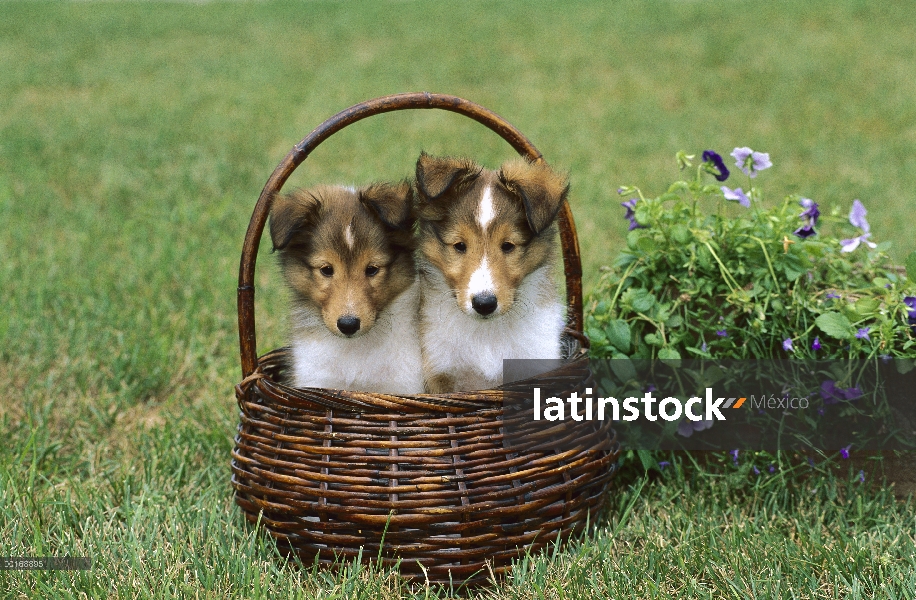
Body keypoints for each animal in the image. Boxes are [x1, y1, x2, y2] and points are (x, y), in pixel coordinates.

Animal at [268, 184, 426, 398]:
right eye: (327, 269)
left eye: (372, 269)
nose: (348, 325)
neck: (353, 348)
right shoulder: (316, 378)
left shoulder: (403, 384)